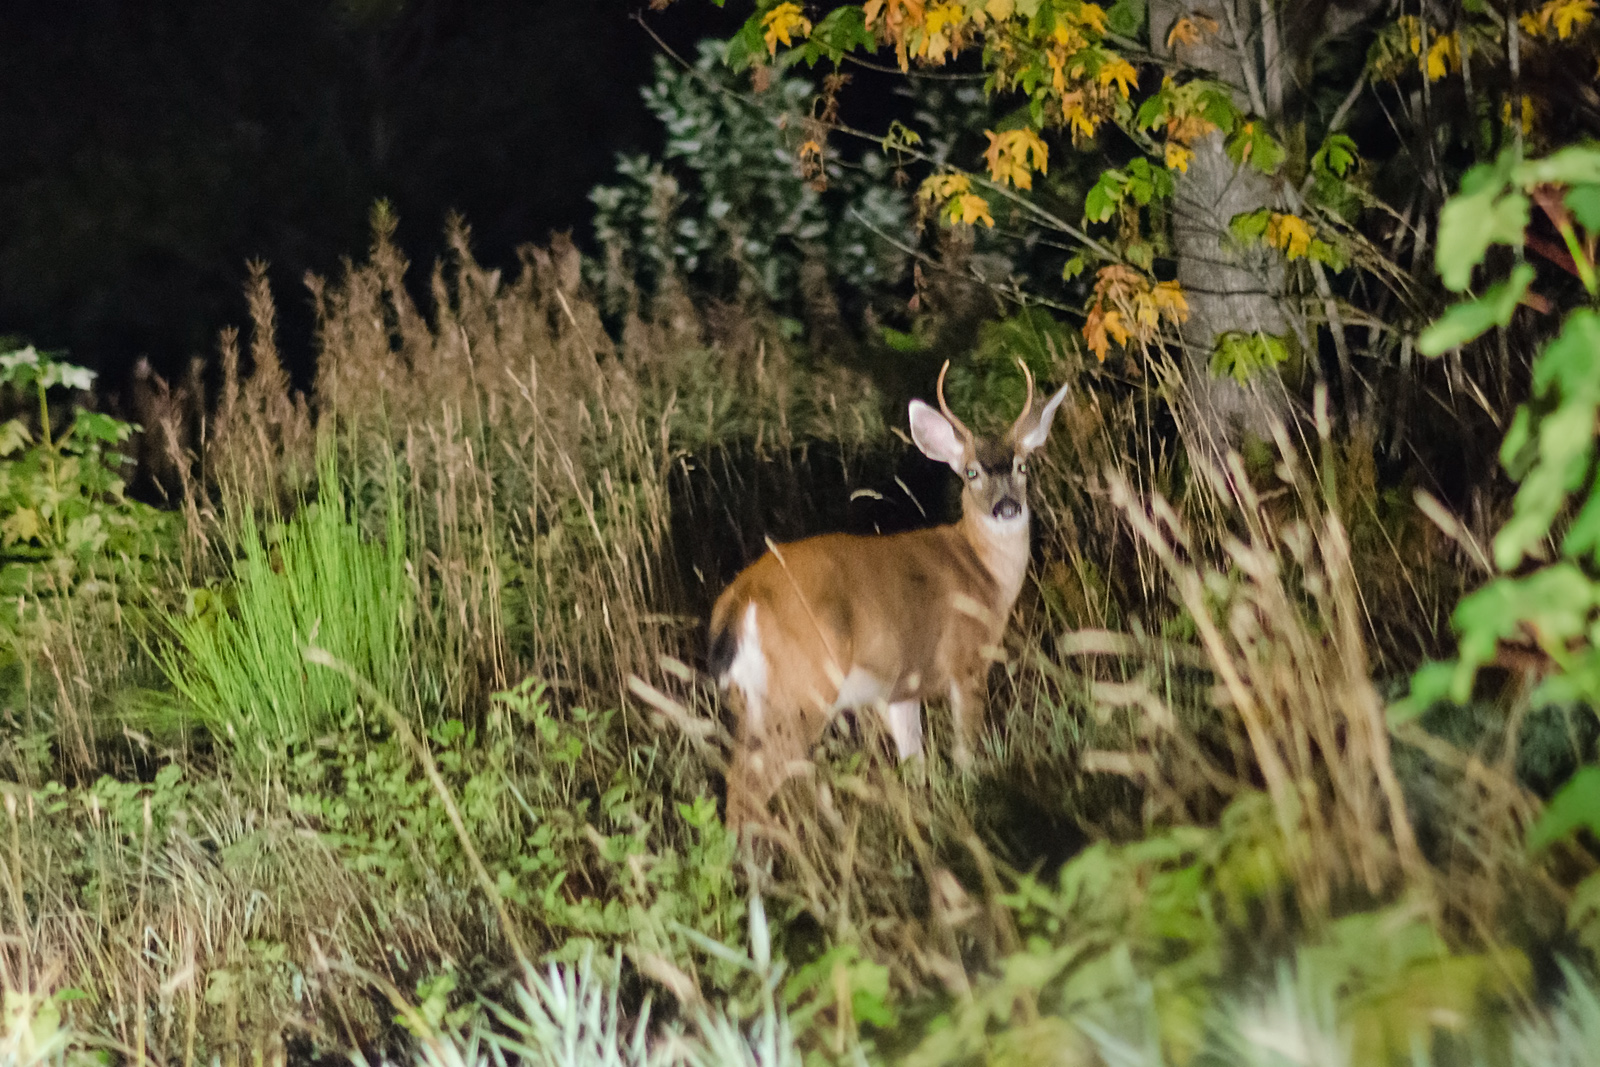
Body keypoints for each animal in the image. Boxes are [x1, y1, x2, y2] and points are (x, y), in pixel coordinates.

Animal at [707, 359, 1071, 830]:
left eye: (1023, 466)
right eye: (971, 472)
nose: (1006, 507)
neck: (982, 572)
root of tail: (739, 600)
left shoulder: (900, 688)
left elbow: (914, 764)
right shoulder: (967, 661)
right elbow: (966, 754)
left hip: (749, 702)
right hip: (803, 691)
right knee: (746, 789)